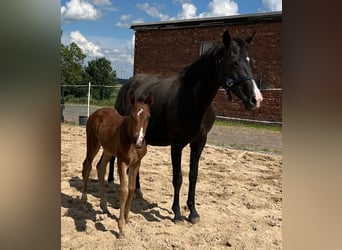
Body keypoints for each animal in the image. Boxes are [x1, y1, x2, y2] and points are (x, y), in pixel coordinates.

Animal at [81, 93, 153, 237]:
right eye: (131, 115)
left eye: (148, 117)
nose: (139, 141)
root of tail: (96, 113)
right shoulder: (122, 161)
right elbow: (124, 190)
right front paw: (121, 228)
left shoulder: (136, 163)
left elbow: (132, 188)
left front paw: (126, 218)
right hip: (93, 144)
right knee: (87, 166)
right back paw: (84, 202)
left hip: (108, 149)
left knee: (100, 167)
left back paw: (104, 206)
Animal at [108, 30, 264, 224]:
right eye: (234, 62)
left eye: (252, 62)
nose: (256, 99)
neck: (192, 99)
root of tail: (127, 85)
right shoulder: (177, 144)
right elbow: (178, 178)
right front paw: (177, 213)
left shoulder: (199, 143)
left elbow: (193, 176)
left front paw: (193, 212)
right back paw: (111, 183)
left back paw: (136, 190)